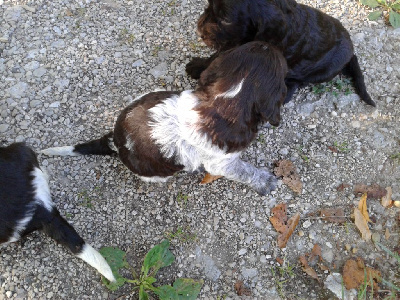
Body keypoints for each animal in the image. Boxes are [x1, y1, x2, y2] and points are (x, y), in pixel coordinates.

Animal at [41, 42, 288, 197]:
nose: (268, 42)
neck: (230, 98)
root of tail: (115, 140)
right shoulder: (221, 162)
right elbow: (244, 171)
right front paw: (264, 181)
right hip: (155, 172)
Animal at [187, 0, 376, 106]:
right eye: (208, 5)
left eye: (226, 20)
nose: (199, 30)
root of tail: (351, 50)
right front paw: (198, 67)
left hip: (323, 71)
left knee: (298, 81)